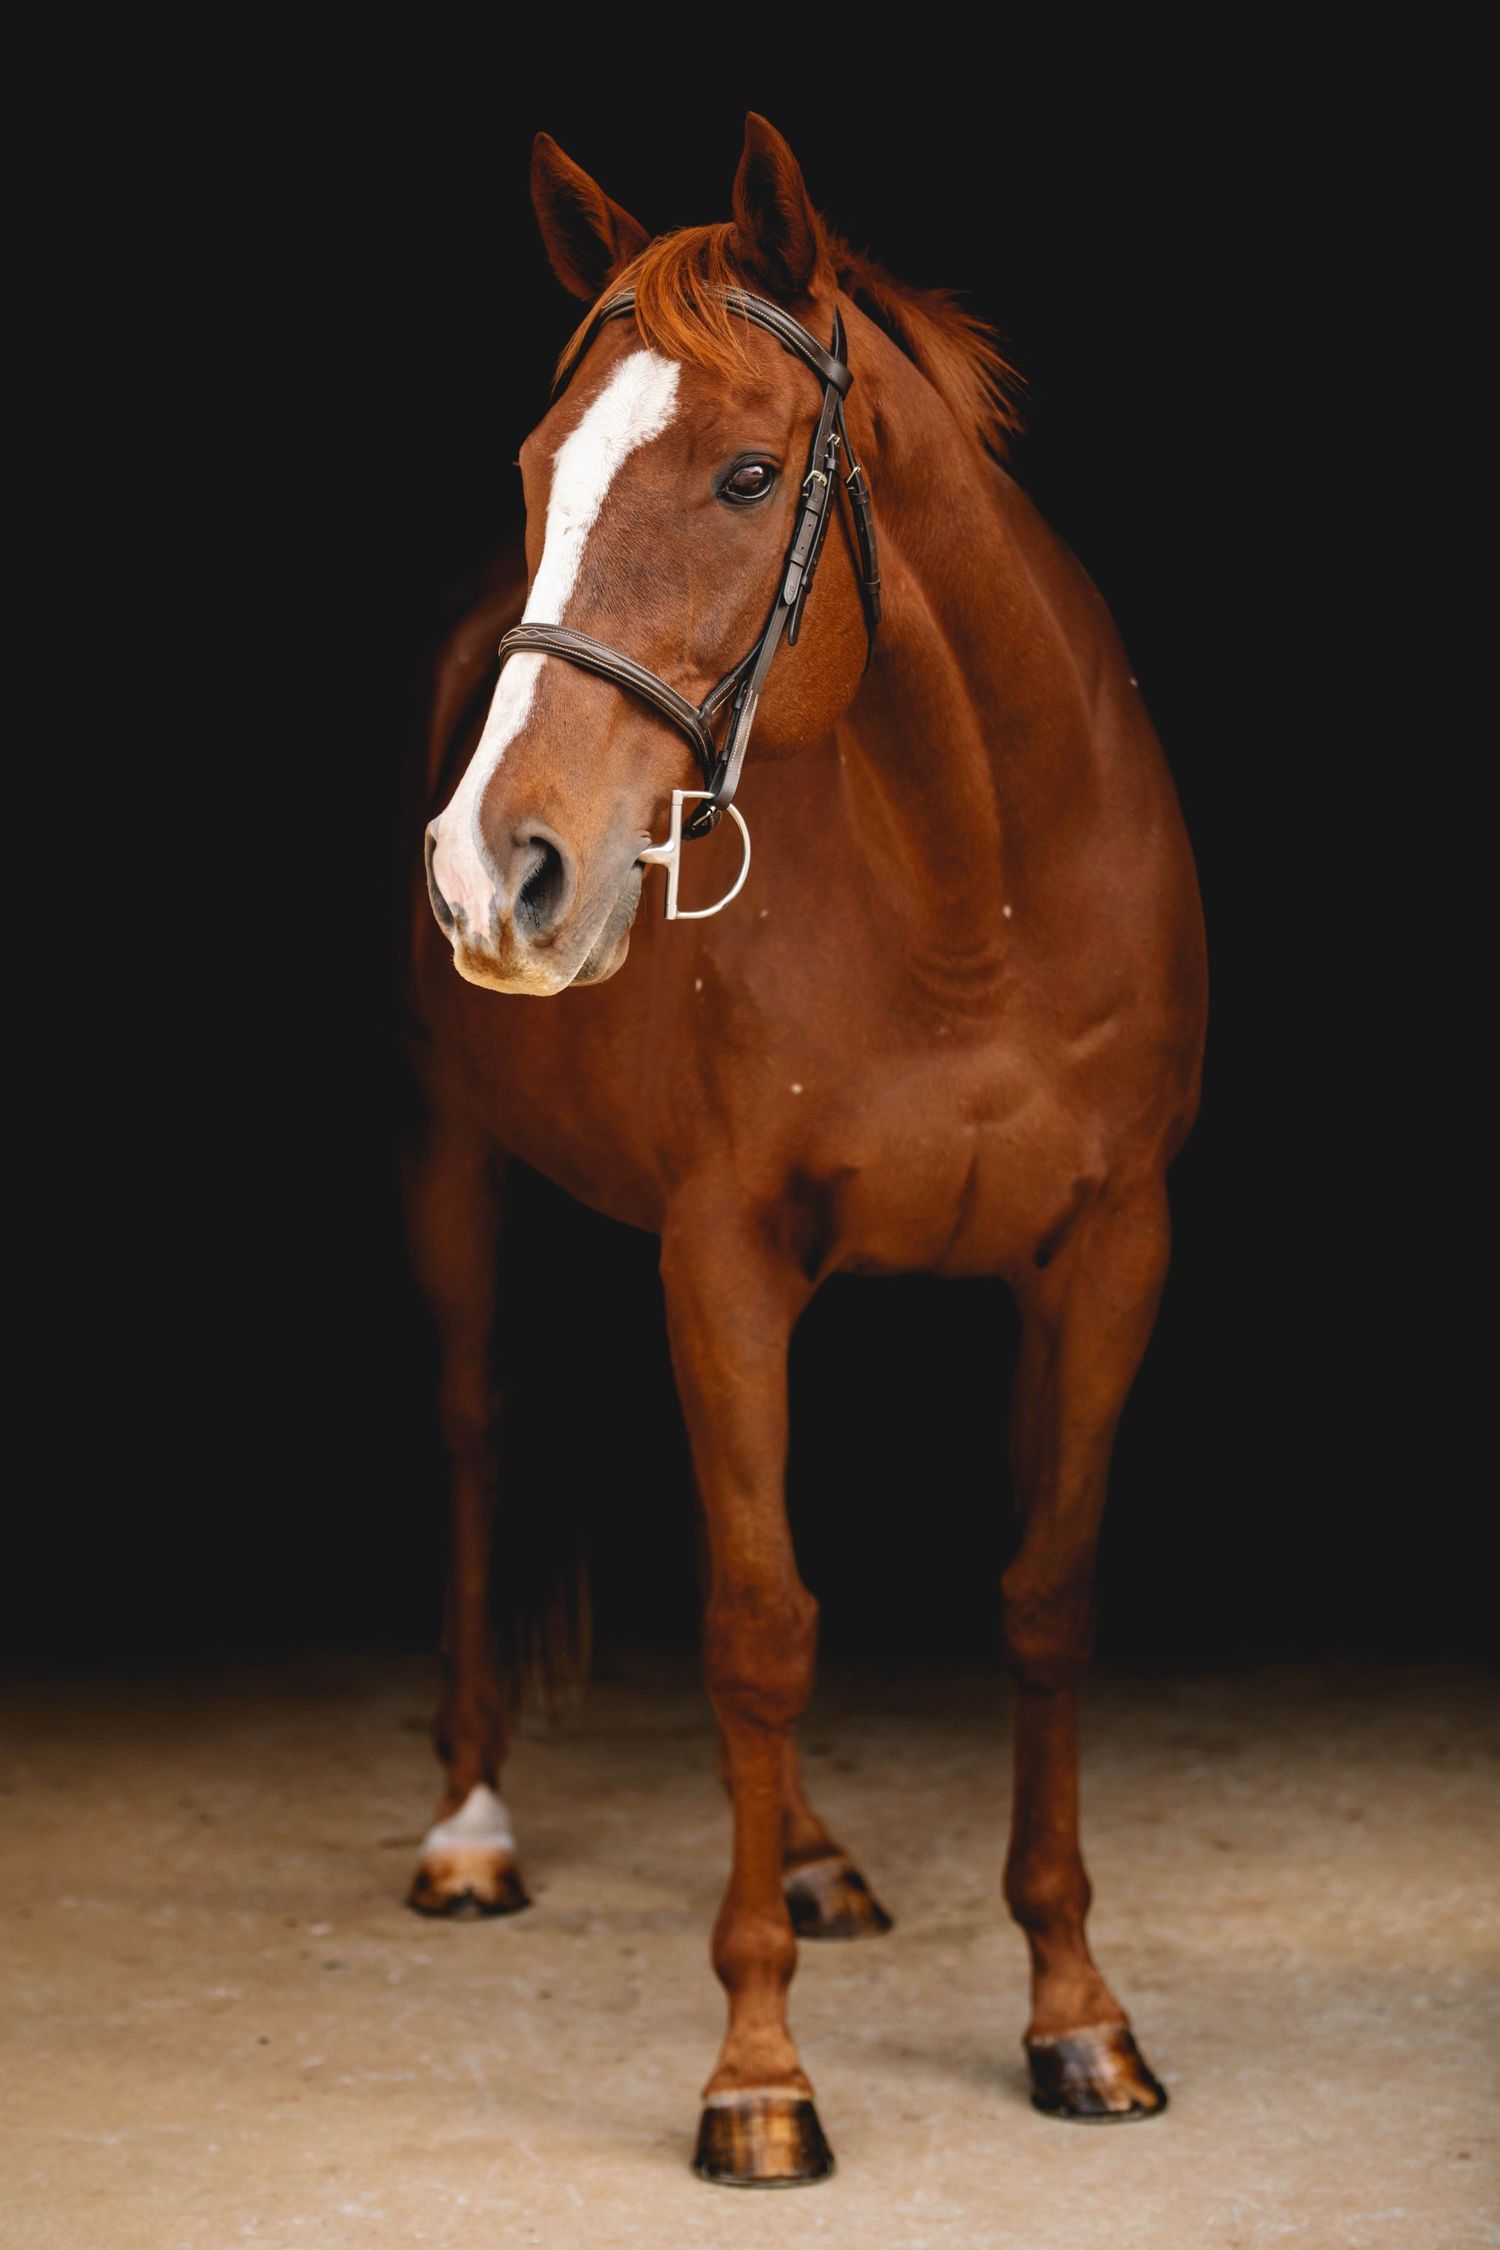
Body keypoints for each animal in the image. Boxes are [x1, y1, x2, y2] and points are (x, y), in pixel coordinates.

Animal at [407, 113, 1206, 2187]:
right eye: (534, 467)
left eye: (751, 474)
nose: (495, 867)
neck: (978, 888)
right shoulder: (724, 1254)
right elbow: (762, 1628)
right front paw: (758, 2073)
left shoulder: (1107, 1253)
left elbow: (1040, 1604)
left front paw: (1077, 2017)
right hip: (457, 1164)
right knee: (478, 1444)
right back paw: (470, 1828)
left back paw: (826, 1857)